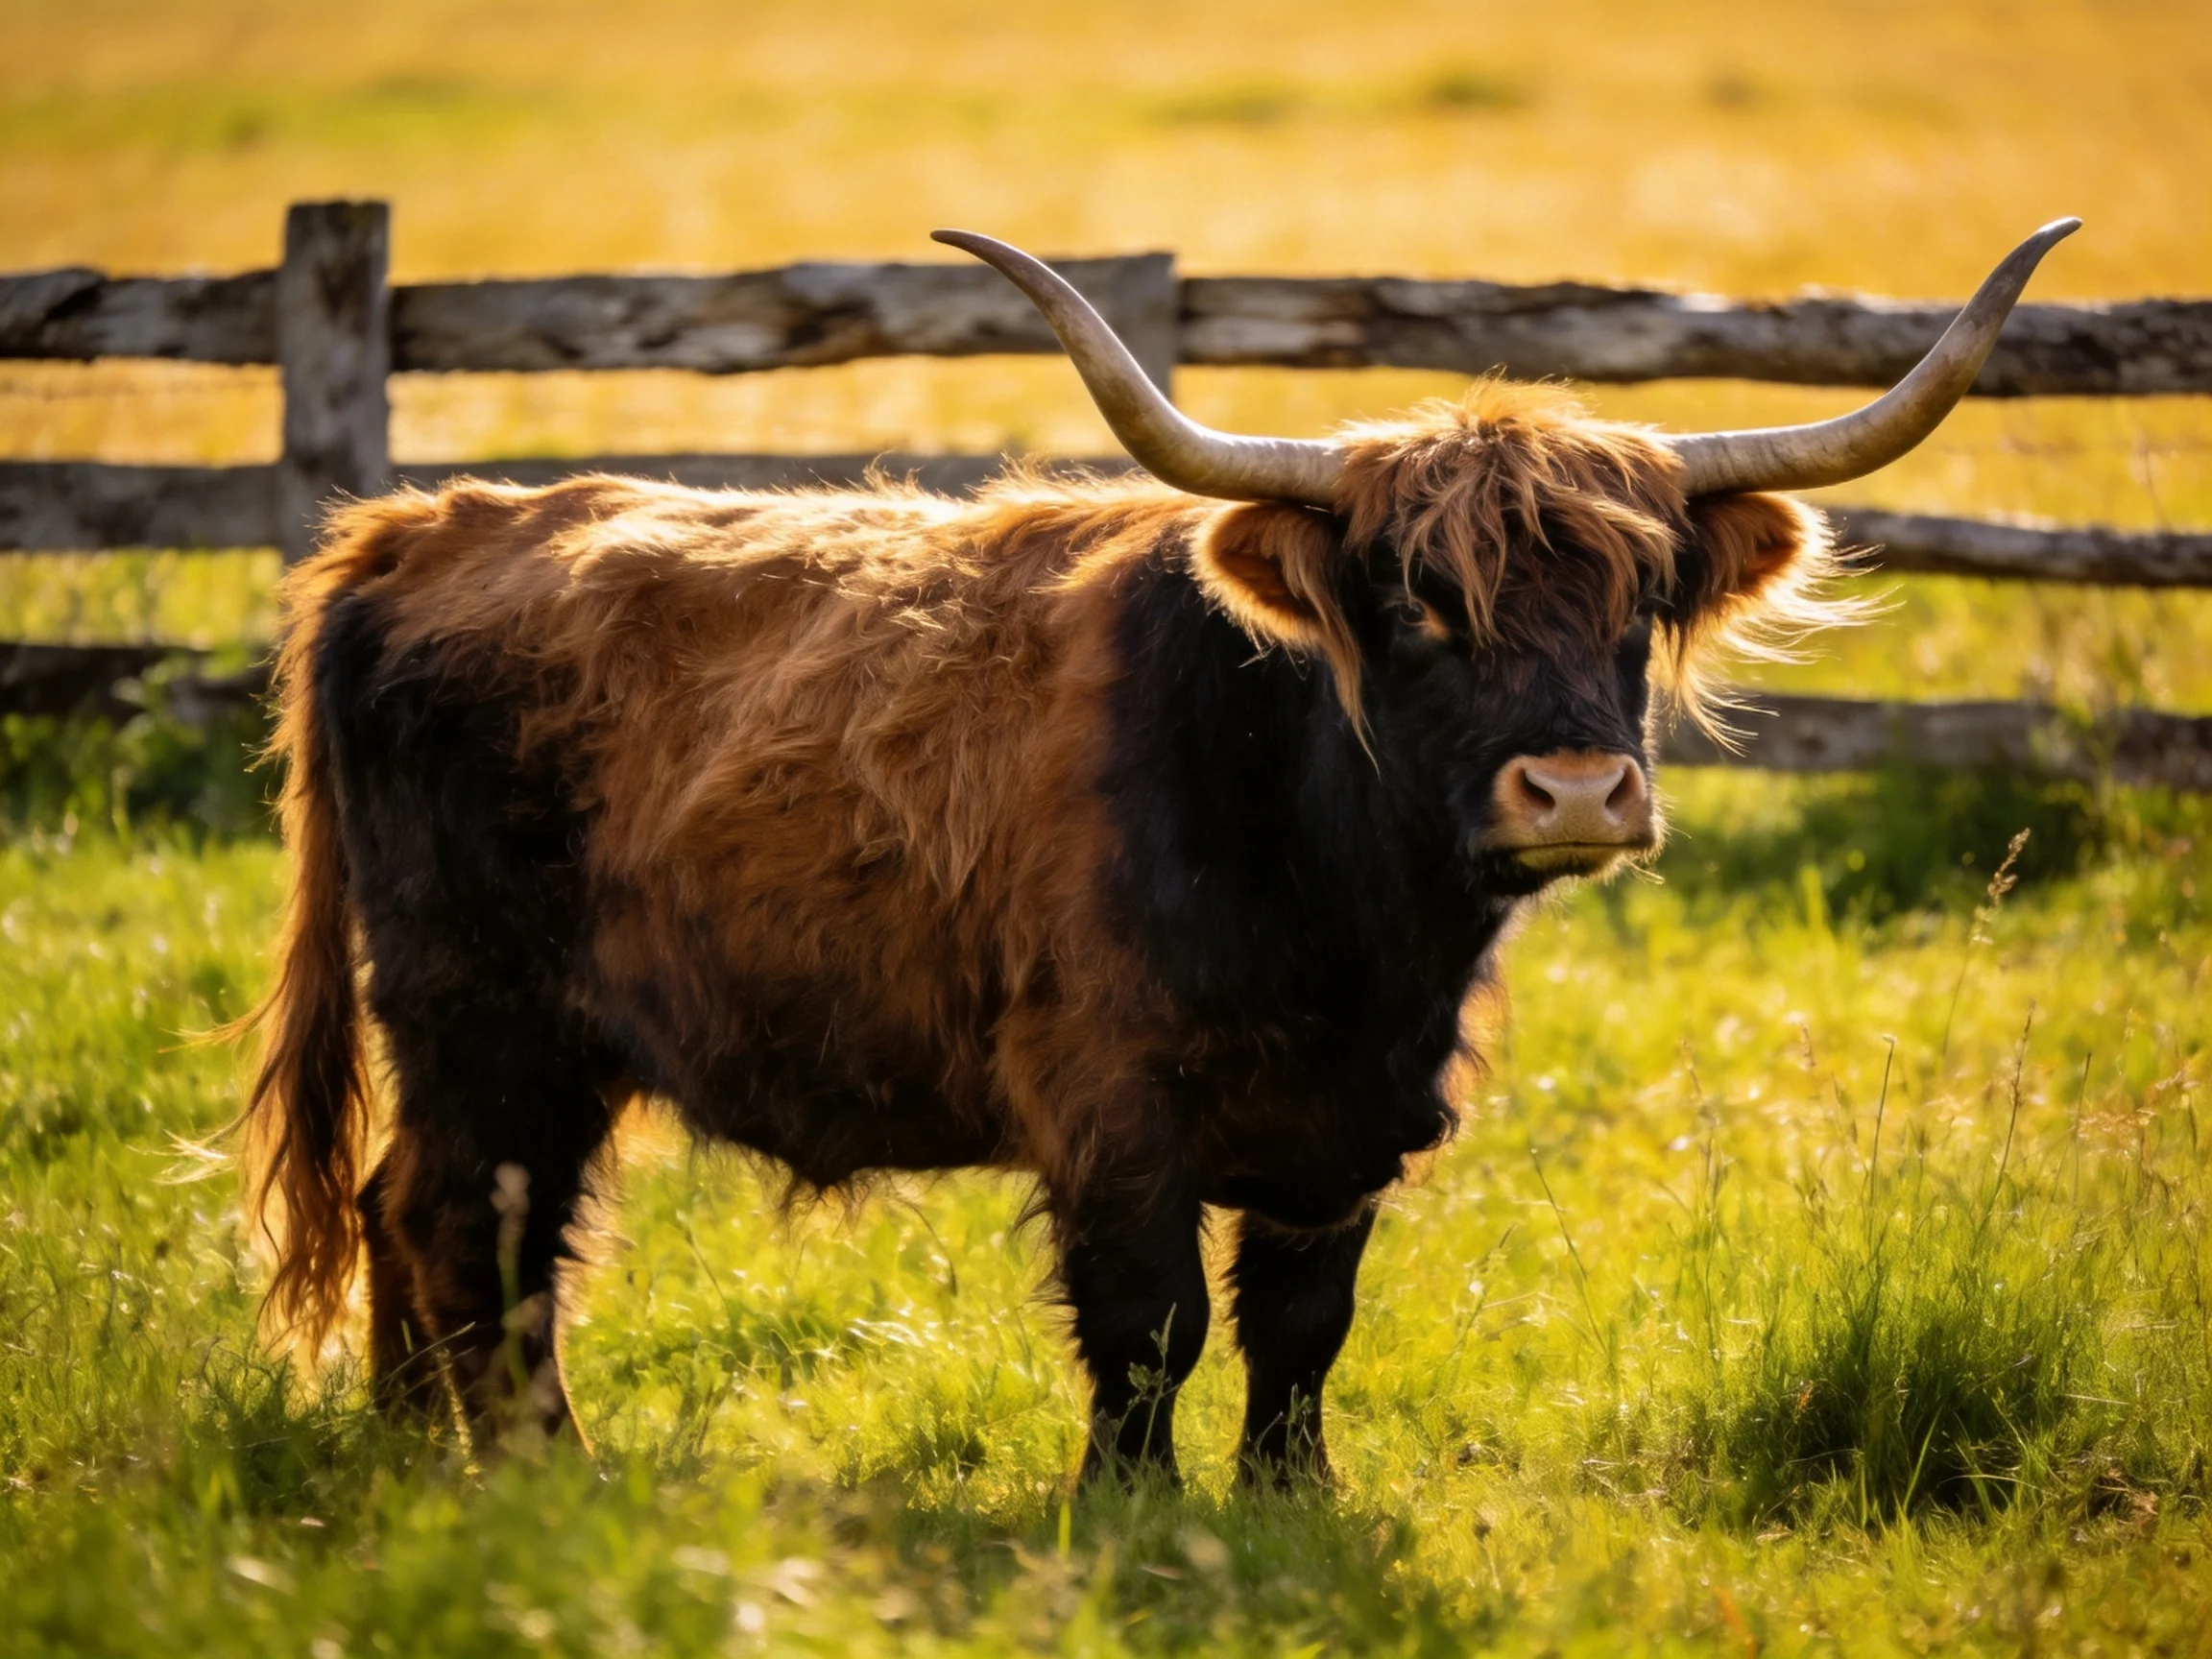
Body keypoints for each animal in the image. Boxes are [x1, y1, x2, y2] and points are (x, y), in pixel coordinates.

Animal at [236, 220, 2076, 1482]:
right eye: (1415, 601)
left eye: (1636, 601)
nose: (1572, 790)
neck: (1345, 917)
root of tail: (423, 525)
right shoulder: (1107, 1103)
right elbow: (1150, 1327)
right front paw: (1130, 1514)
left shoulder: (1348, 1123)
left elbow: (1299, 1326)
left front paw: (1287, 1503)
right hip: (486, 1014)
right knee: (475, 1231)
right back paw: (545, 1471)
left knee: (419, 1214)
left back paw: (414, 1457)